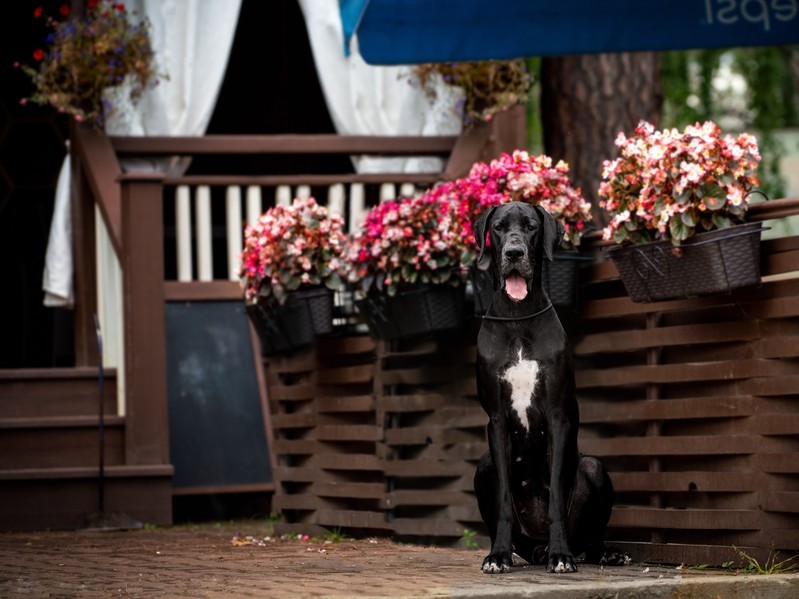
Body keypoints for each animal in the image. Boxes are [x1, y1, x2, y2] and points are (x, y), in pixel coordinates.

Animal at [476, 203, 624, 576]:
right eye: (498, 227)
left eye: (530, 226)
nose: (514, 252)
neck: (517, 316)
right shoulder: (496, 421)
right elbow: (503, 499)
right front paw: (497, 556)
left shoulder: (558, 418)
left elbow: (557, 493)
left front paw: (561, 555)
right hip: (483, 466)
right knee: (521, 539)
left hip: (594, 469)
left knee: (591, 535)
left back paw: (596, 552)